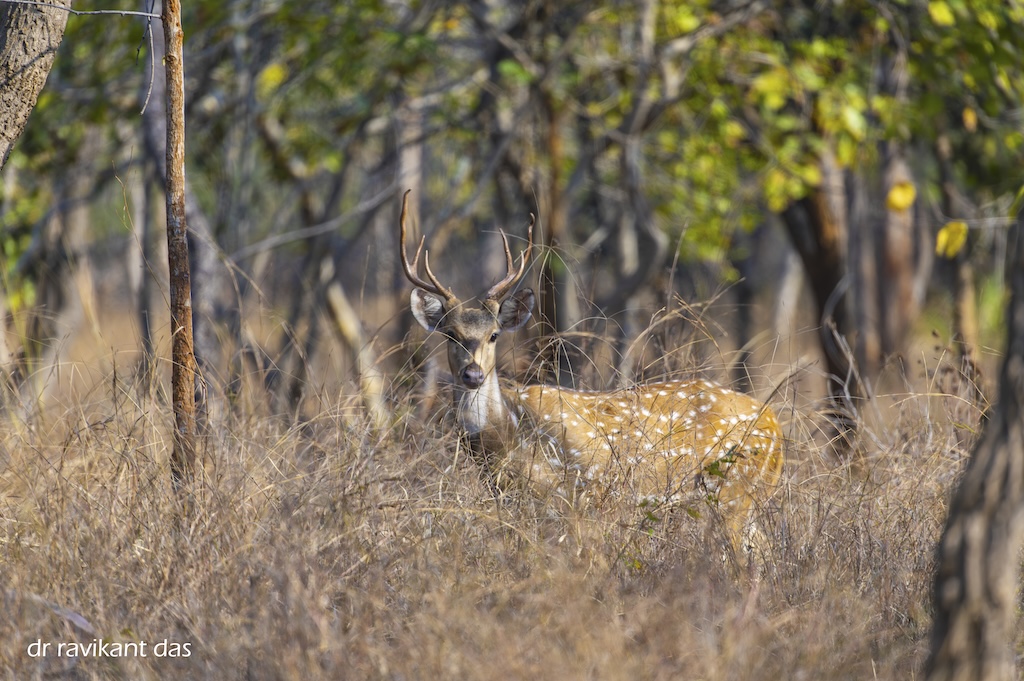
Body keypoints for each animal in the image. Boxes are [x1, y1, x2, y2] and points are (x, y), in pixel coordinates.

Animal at [400, 191, 784, 554]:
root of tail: (775, 426)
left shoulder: (588, 489)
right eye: (450, 334)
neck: (508, 435)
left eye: (494, 334)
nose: (473, 374)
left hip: (733, 491)